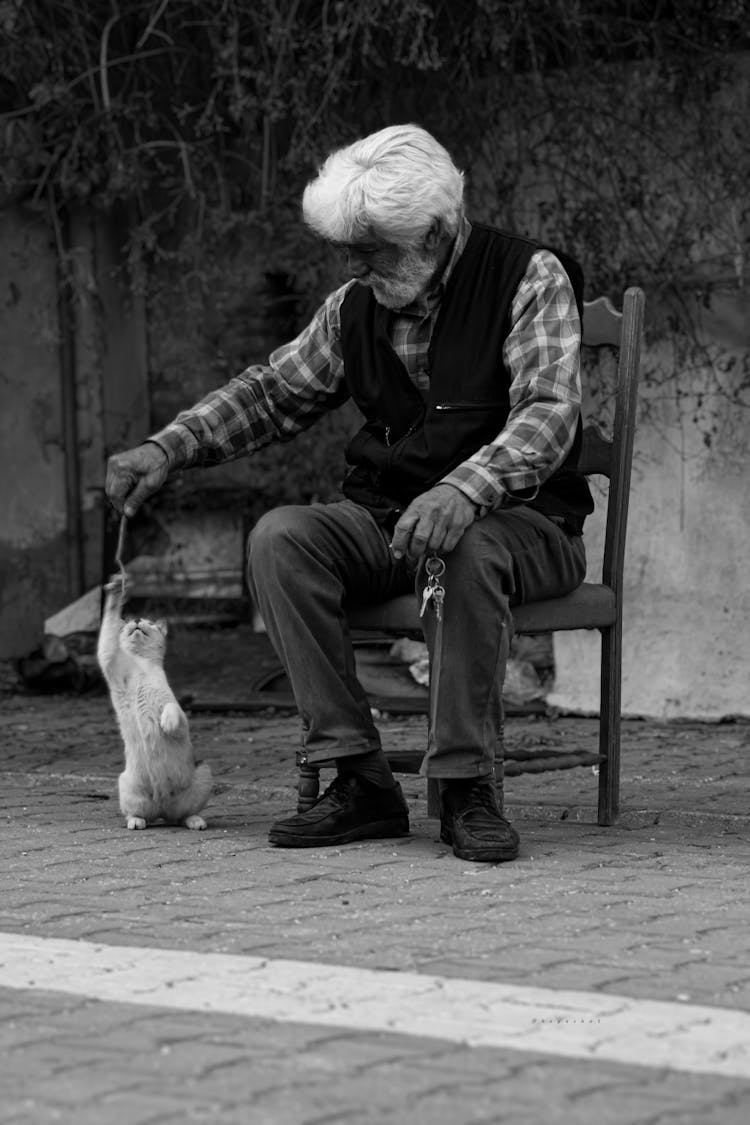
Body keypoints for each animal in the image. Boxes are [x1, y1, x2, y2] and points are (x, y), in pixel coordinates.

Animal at [96, 585, 212, 832]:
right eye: (131, 621)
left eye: (148, 622)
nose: (137, 619)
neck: (140, 664)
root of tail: (162, 809)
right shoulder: (109, 659)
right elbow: (108, 632)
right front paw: (114, 590)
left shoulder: (177, 711)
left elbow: (171, 709)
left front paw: (165, 723)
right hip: (125, 784)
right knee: (140, 815)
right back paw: (136, 822)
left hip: (204, 770)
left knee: (182, 816)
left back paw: (195, 821)